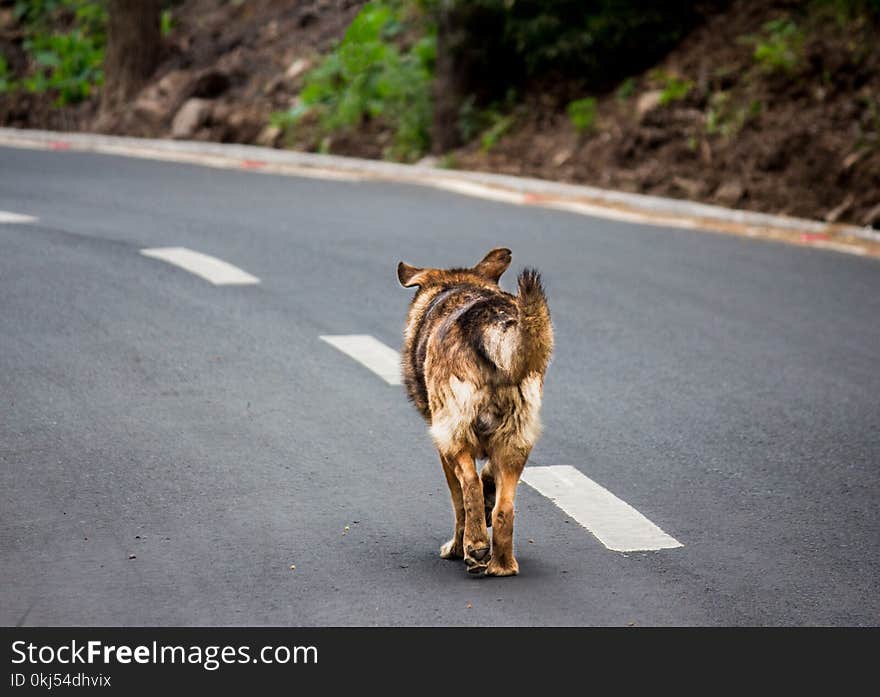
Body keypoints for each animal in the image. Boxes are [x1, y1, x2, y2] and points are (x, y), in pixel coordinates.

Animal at [398, 247, 552, 572]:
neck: (458, 286)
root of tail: (489, 322)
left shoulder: (443, 448)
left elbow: (459, 502)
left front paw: (457, 547)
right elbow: (489, 479)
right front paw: (489, 491)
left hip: (455, 438)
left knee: (469, 487)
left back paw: (476, 546)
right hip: (517, 441)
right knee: (504, 511)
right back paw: (503, 565)